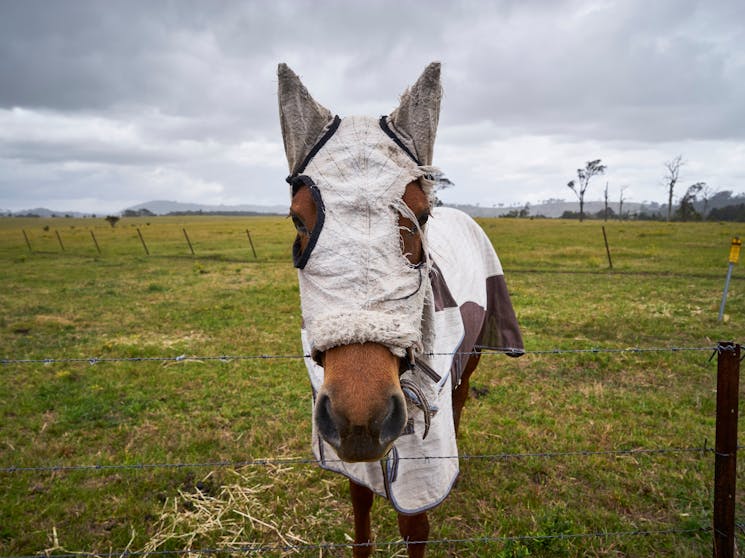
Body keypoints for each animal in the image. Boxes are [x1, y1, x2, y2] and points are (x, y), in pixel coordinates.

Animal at [274, 62, 524, 558]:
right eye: (297, 219)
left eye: (420, 216)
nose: (360, 416)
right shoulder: (356, 457)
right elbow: (361, 514)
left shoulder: (418, 468)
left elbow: (415, 528)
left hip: (473, 357)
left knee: (461, 397)